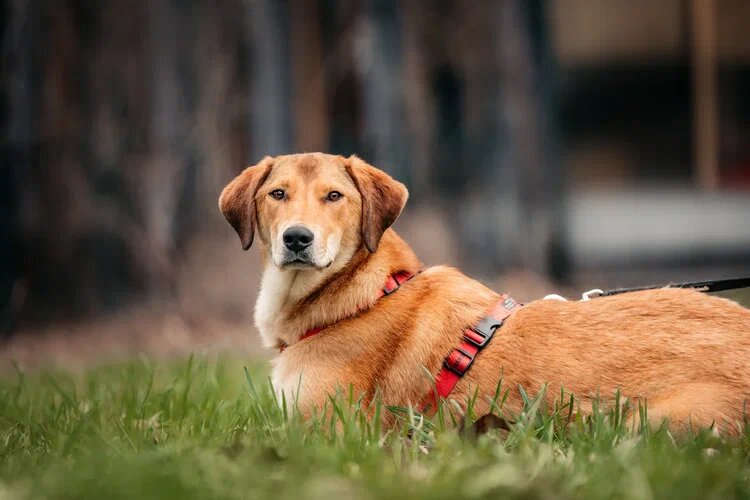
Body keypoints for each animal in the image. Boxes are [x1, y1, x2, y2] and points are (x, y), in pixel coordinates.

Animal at [219, 153, 750, 432]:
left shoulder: (321, 428)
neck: (365, 293)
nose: (297, 238)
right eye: (277, 194)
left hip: (652, 422)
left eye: (335, 196)